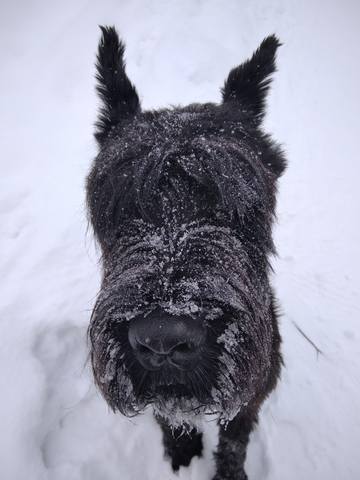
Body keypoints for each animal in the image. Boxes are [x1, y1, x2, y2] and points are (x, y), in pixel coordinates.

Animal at [86, 27, 286, 480]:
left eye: (239, 204)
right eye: (113, 206)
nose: (163, 339)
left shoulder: (256, 381)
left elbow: (235, 436)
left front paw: (228, 473)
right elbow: (168, 415)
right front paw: (181, 453)